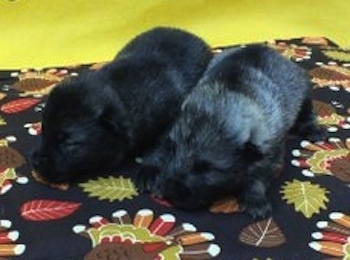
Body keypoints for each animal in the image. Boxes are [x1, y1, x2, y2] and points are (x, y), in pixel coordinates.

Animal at [32, 26, 213, 185]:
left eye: (68, 141)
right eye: (44, 130)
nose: (37, 163)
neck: (122, 95)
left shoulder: (171, 117)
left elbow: (160, 144)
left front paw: (148, 169)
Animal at [136, 45, 326, 219]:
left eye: (206, 168)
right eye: (173, 150)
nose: (169, 192)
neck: (229, 92)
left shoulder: (271, 152)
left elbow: (259, 177)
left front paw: (254, 197)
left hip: (304, 90)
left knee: (307, 111)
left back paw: (314, 128)